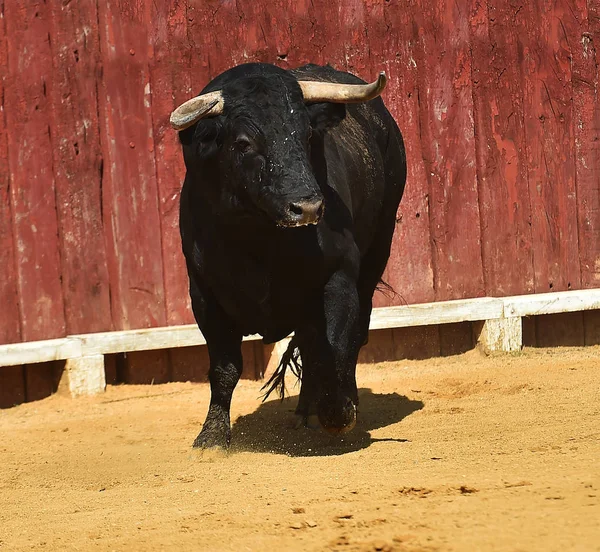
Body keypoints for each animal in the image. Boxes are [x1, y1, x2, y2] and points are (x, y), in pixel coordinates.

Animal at [175, 62, 408, 448]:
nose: (308, 207)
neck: (260, 238)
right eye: (243, 143)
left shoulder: (338, 280)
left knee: (350, 335)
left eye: (307, 134)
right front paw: (211, 436)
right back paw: (304, 411)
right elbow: (224, 367)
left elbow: (336, 347)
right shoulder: (204, 293)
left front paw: (339, 414)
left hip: (379, 247)